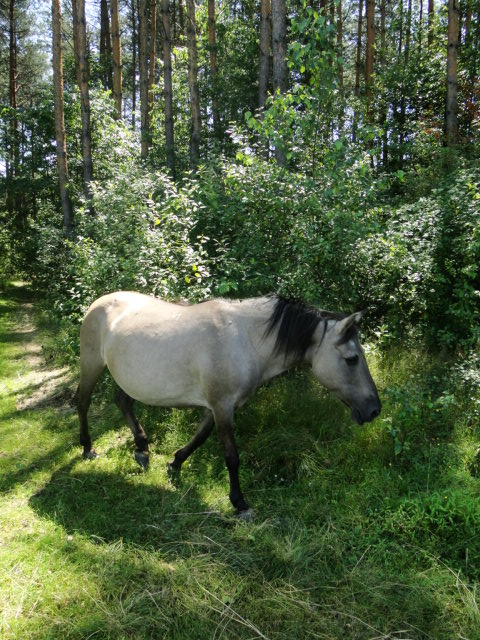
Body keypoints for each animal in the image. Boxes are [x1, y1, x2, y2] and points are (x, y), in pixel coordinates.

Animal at [77, 292, 380, 516]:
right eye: (352, 359)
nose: (374, 409)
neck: (244, 340)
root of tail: (100, 302)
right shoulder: (223, 406)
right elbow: (232, 456)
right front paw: (239, 502)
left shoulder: (217, 407)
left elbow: (200, 437)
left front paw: (175, 463)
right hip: (92, 364)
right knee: (83, 400)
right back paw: (88, 448)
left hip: (131, 378)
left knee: (123, 401)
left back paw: (141, 448)